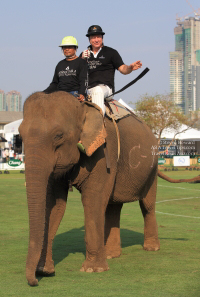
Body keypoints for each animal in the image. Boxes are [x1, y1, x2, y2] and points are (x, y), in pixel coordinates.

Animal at [18, 90, 197, 284]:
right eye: (20, 135)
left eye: (58, 135)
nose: (34, 280)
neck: (83, 107)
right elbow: (54, 204)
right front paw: (45, 270)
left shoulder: (104, 151)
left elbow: (92, 199)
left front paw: (93, 270)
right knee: (113, 207)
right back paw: (111, 254)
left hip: (151, 166)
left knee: (147, 206)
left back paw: (150, 248)